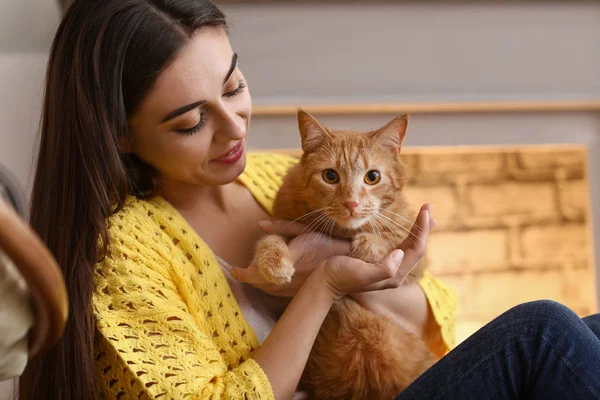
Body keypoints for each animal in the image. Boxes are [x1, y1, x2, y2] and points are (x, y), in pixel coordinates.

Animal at [253, 111, 436, 398]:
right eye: (330, 176)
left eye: (372, 177)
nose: (351, 203)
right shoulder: (279, 223)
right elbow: (269, 239)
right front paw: (274, 261)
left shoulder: (415, 262)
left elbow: (391, 240)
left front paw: (370, 244)